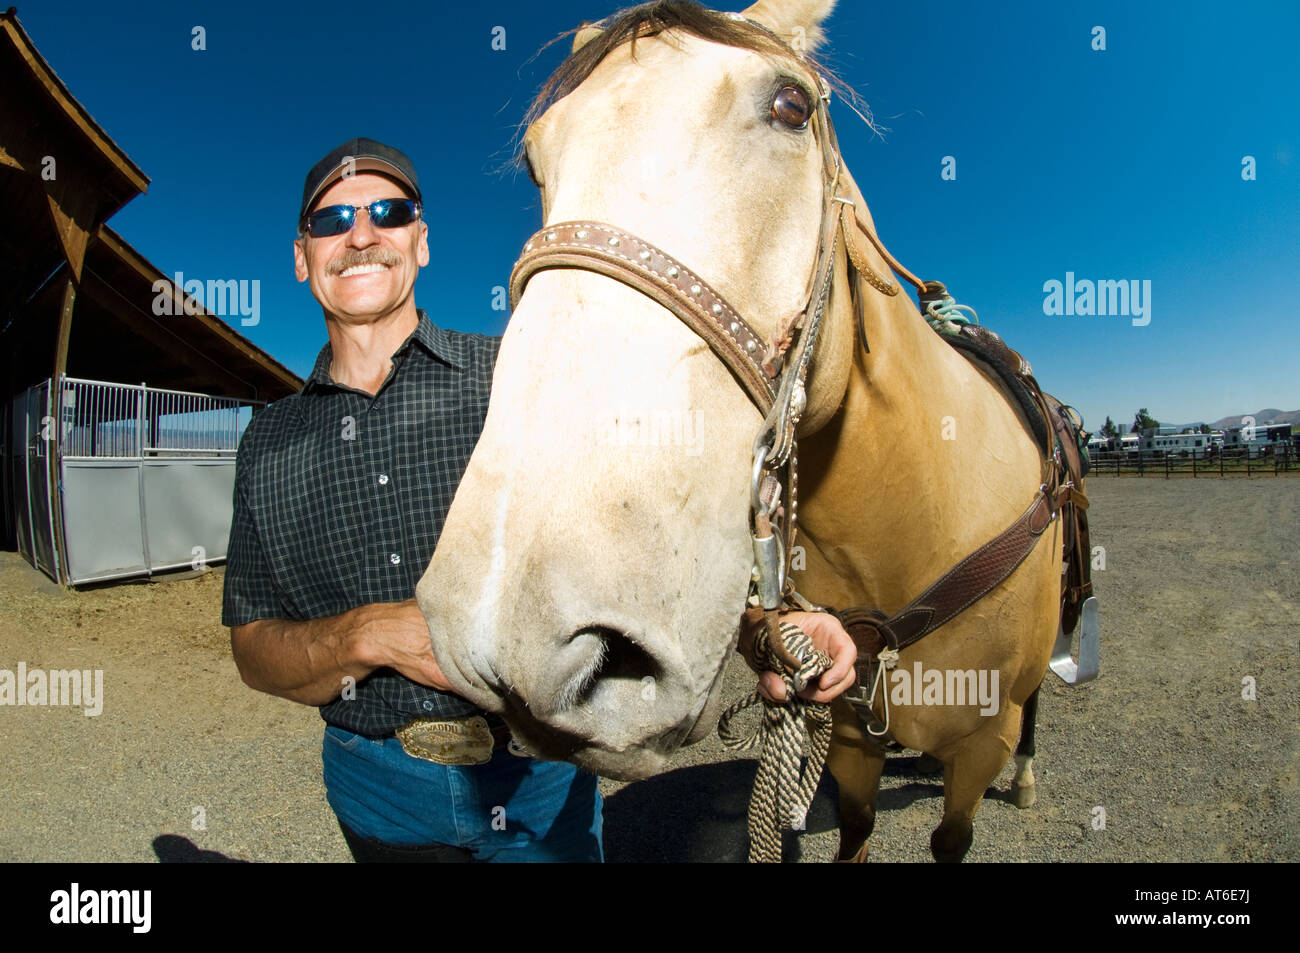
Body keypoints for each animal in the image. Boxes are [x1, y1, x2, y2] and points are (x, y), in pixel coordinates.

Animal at [416, 0, 1076, 863]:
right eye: (535, 162)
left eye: (791, 106)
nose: (506, 638)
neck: (919, 519)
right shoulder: (850, 736)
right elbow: (856, 826)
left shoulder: (976, 750)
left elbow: (954, 833)